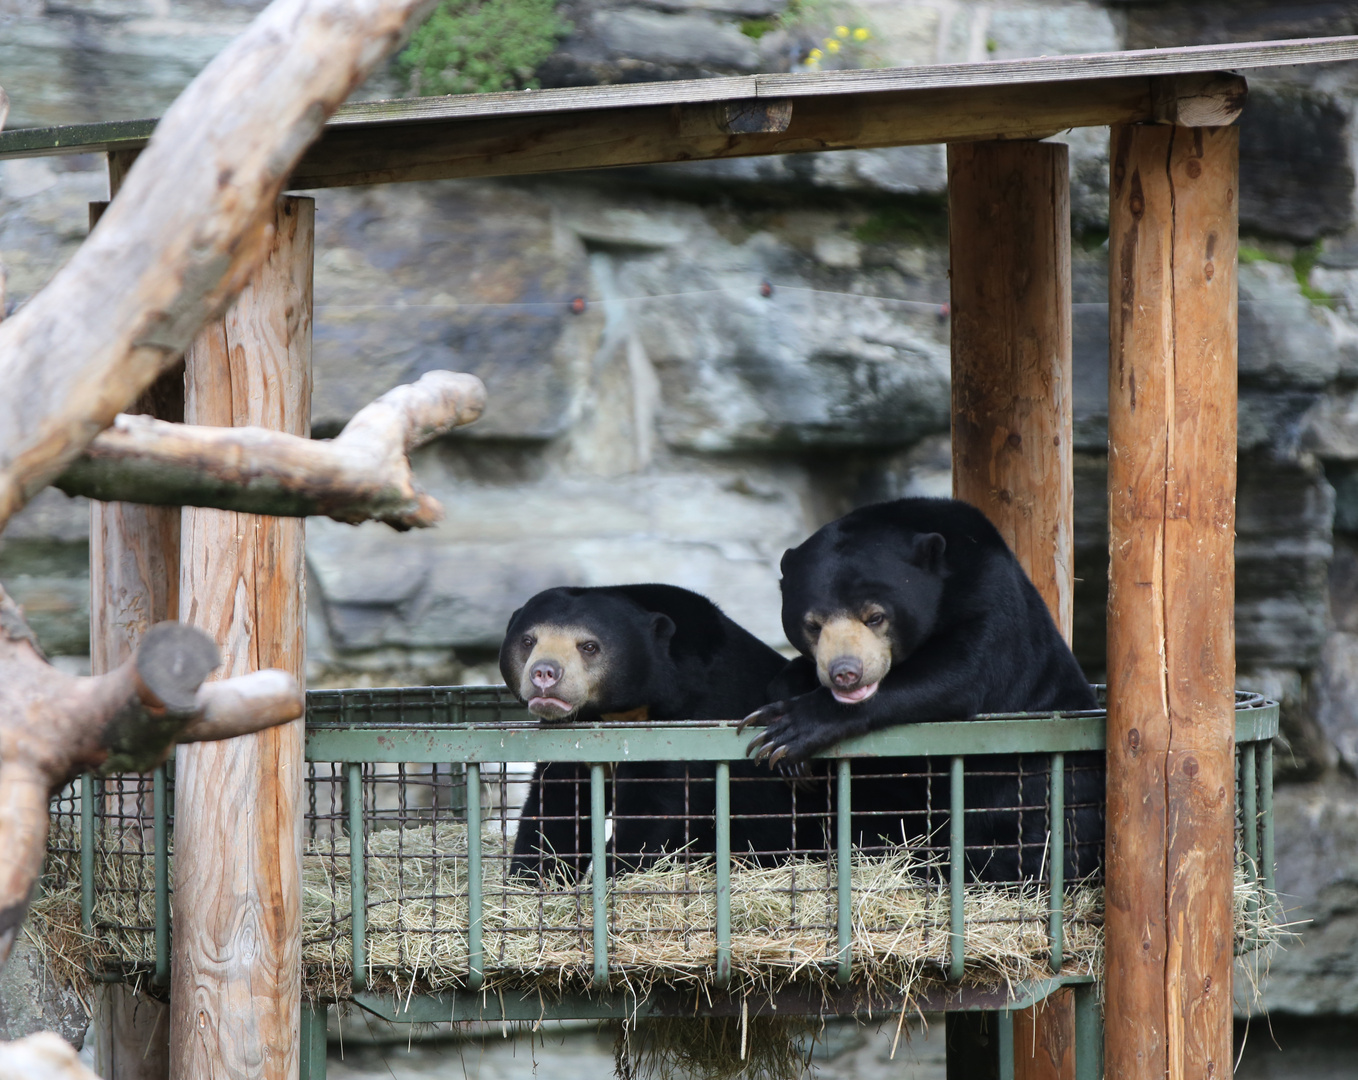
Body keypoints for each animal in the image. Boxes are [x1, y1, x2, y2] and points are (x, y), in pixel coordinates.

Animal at [499, 586, 814, 880]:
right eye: (528, 641)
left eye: (588, 646)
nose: (544, 673)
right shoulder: (571, 736)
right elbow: (556, 803)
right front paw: (530, 879)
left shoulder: (692, 718)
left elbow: (652, 808)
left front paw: (614, 876)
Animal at [744, 499, 1102, 885]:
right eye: (812, 624)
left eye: (875, 617)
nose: (846, 673)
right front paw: (792, 757)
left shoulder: (990, 596)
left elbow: (959, 672)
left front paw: (786, 733)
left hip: (1037, 790)